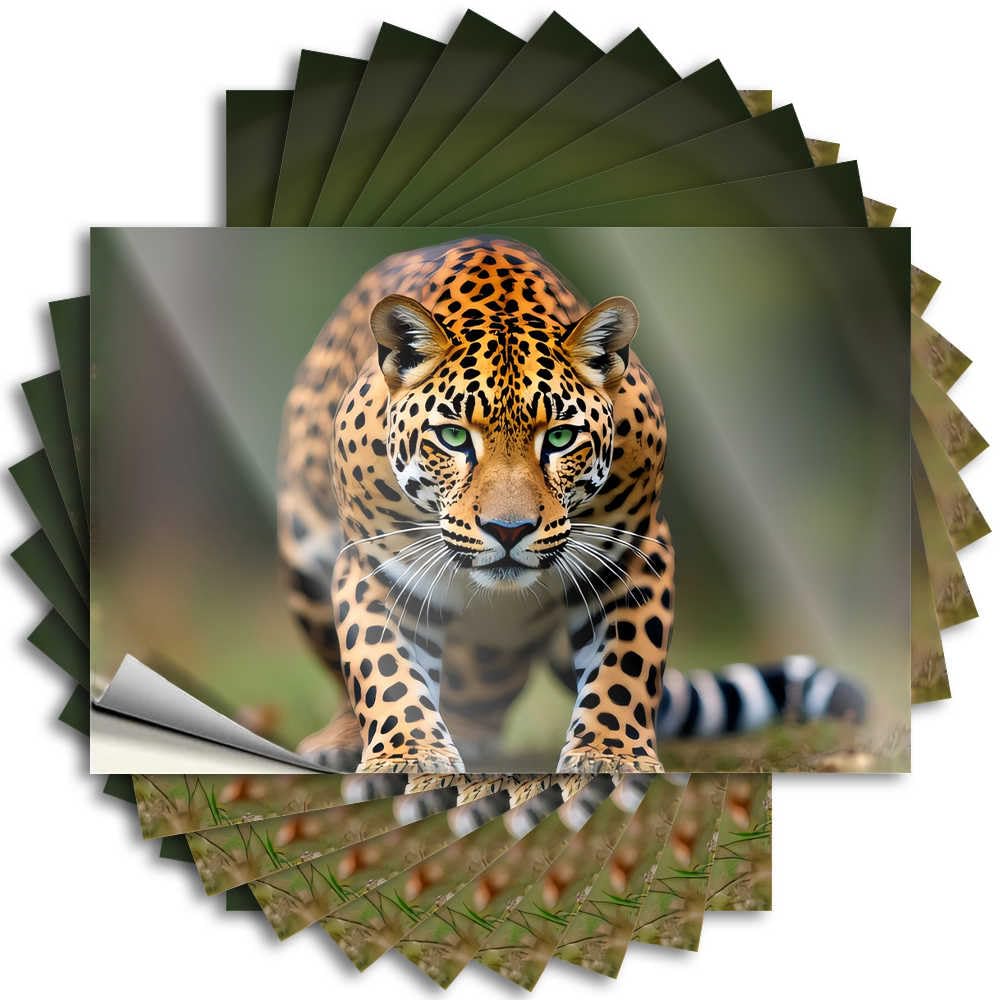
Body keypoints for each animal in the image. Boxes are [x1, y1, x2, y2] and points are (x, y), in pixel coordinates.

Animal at [278, 237, 865, 776]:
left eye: (560, 438)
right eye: (453, 436)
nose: (508, 530)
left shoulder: (633, 554)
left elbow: (626, 667)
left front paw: (611, 754)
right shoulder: (377, 565)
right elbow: (382, 666)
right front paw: (408, 755)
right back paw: (342, 739)